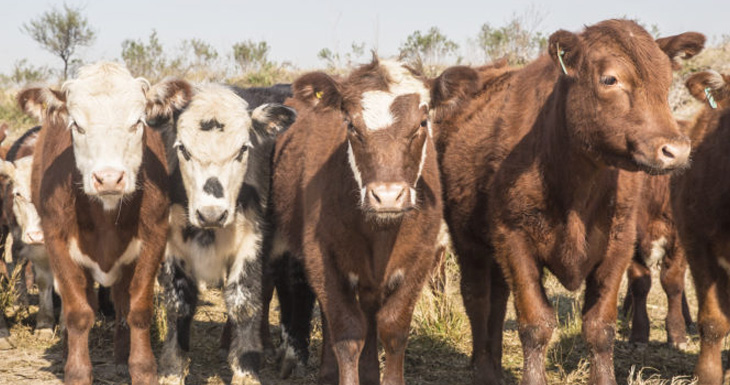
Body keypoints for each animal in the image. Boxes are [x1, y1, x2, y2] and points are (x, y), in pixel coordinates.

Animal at [17, 62, 168, 384]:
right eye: (76, 125)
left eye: (138, 122)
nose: (109, 178)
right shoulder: (57, 242)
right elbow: (77, 312)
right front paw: (76, 371)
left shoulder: (155, 238)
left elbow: (137, 310)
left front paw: (143, 369)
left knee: (121, 302)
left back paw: (122, 359)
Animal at [145, 79, 296, 384]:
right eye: (183, 149)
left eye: (243, 149)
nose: (211, 213)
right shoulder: (173, 245)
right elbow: (178, 304)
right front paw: (172, 369)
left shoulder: (252, 241)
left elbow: (244, 301)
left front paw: (246, 369)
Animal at [270, 57, 440, 384]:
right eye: (351, 125)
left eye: (422, 124)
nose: (387, 196)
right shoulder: (323, 259)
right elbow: (347, 333)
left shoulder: (420, 259)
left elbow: (393, 330)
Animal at [430, 20, 704, 384]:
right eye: (610, 79)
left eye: (667, 80)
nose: (676, 150)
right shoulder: (513, 239)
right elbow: (536, 324)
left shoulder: (619, 244)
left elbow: (600, 327)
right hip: (468, 240)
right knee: (477, 298)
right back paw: (484, 368)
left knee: (498, 300)